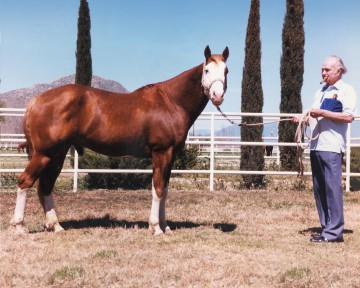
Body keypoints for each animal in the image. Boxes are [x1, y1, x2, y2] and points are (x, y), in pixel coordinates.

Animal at [13, 45, 231, 234]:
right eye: (206, 70)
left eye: (226, 70)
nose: (217, 95)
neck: (171, 102)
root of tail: (36, 100)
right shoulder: (161, 153)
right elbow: (158, 188)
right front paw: (156, 228)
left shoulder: (170, 157)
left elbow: (165, 190)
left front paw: (165, 226)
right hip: (44, 154)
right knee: (25, 181)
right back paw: (19, 227)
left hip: (57, 155)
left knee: (45, 186)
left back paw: (55, 226)